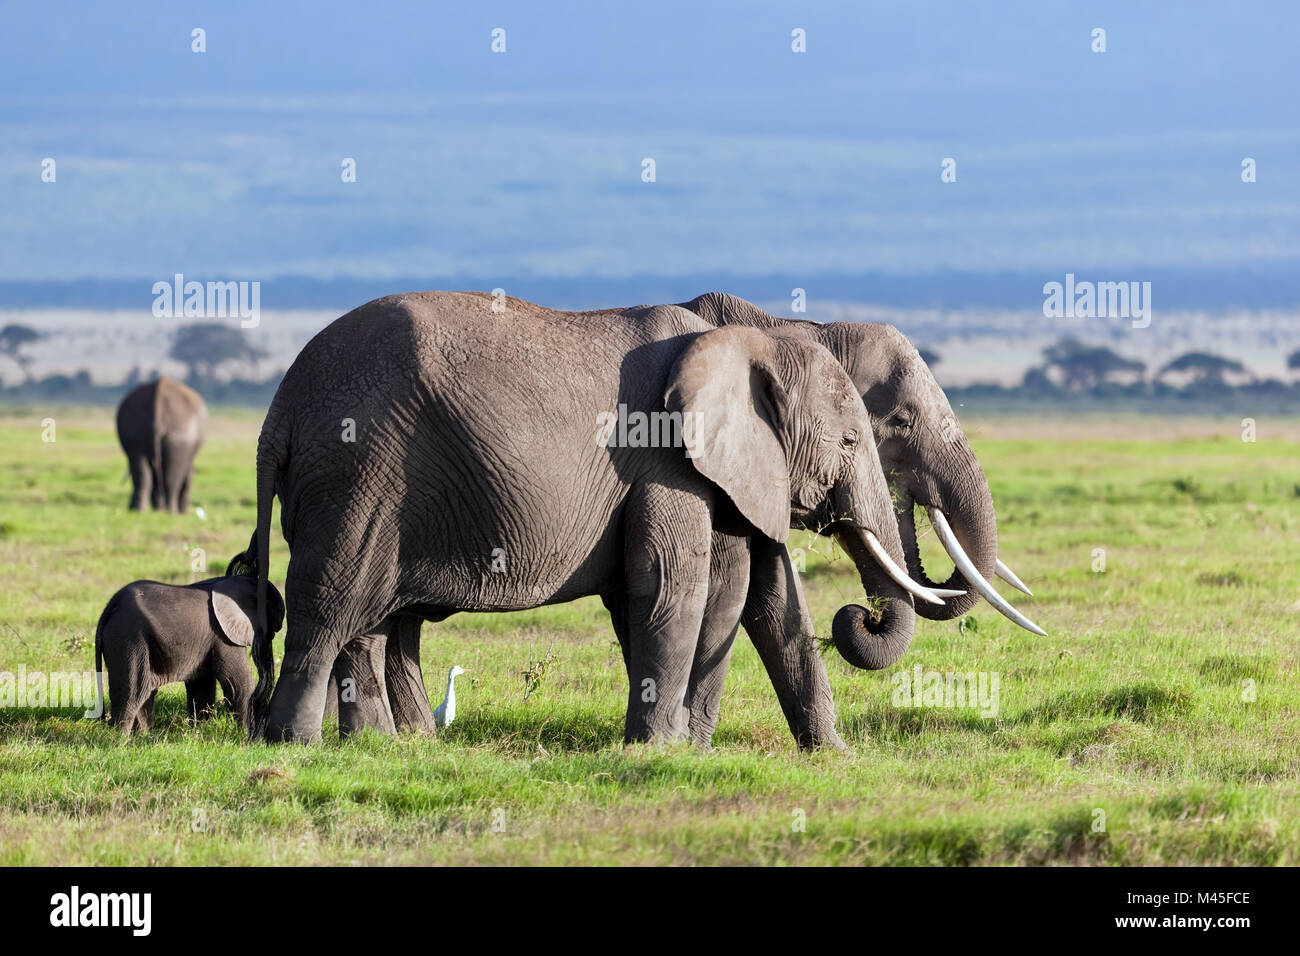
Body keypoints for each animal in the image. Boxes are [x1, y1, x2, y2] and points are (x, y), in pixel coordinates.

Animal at [95, 572, 287, 738]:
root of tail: (109, 608)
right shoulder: (223, 635)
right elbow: (238, 683)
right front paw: (249, 736)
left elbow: (202, 687)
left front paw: (199, 733)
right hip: (129, 637)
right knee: (134, 691)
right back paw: (119, 740)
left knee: (145, 692)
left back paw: (142, 737)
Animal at [245, 291, 946, 738]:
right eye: (852, 441)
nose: (859, 616)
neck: (756, 340)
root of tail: (279, 410)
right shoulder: (663, 459)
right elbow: (672, 587)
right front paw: (658, 750)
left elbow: (754, 598)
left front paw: (823, 758)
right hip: (357, 473)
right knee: (331, 608)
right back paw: (297, 743)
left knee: (369, 621)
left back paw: (386, 747)